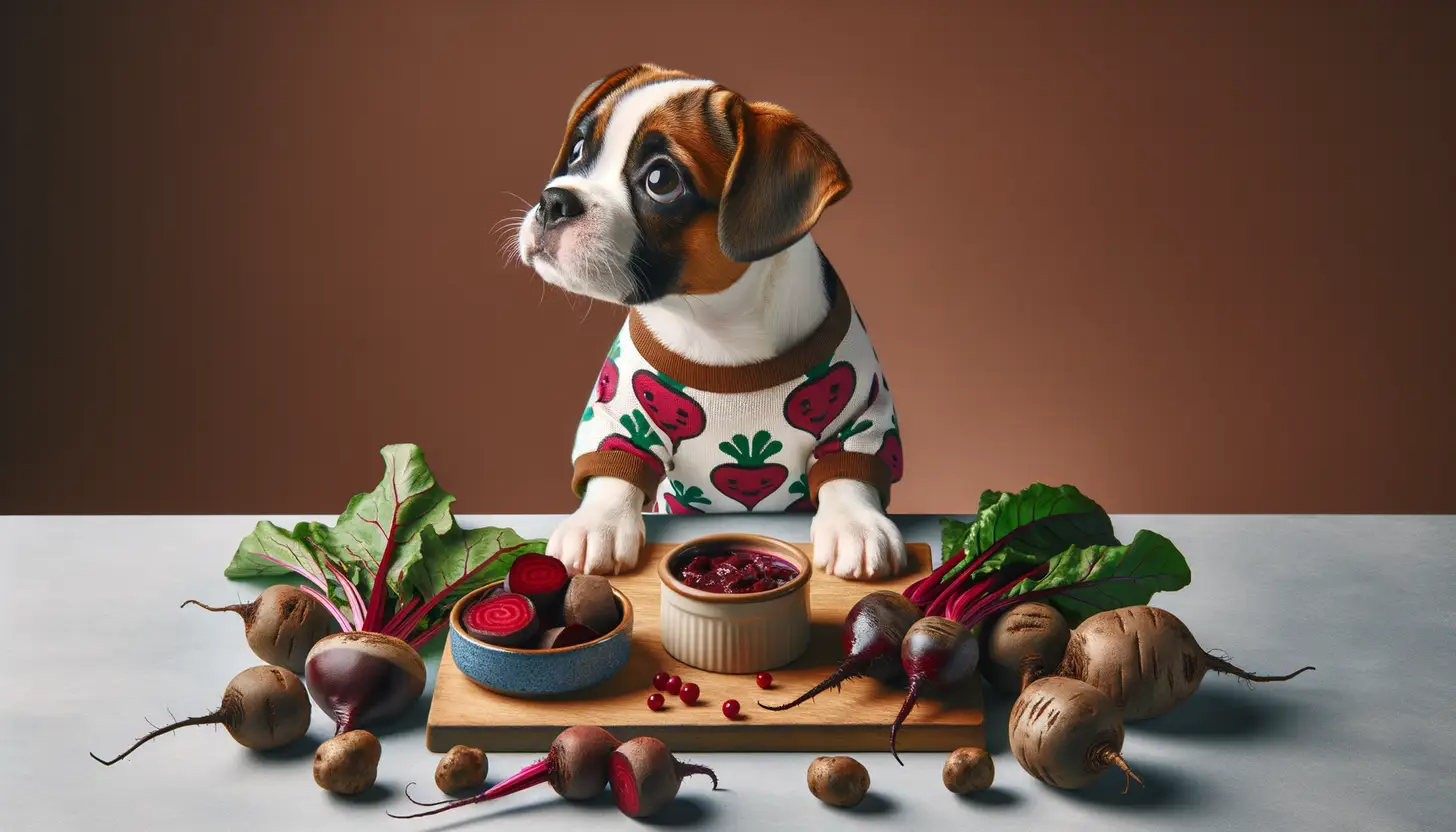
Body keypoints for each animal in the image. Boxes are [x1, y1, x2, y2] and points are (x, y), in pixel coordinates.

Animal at [509, 65, 896, 582]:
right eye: (577, 151)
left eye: (661, 180)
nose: (553, 201)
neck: (717, 327)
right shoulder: (621, 410)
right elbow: (613, 464)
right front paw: (599, 523)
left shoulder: (862, 411)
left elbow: (850, 468)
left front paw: (857, 523)